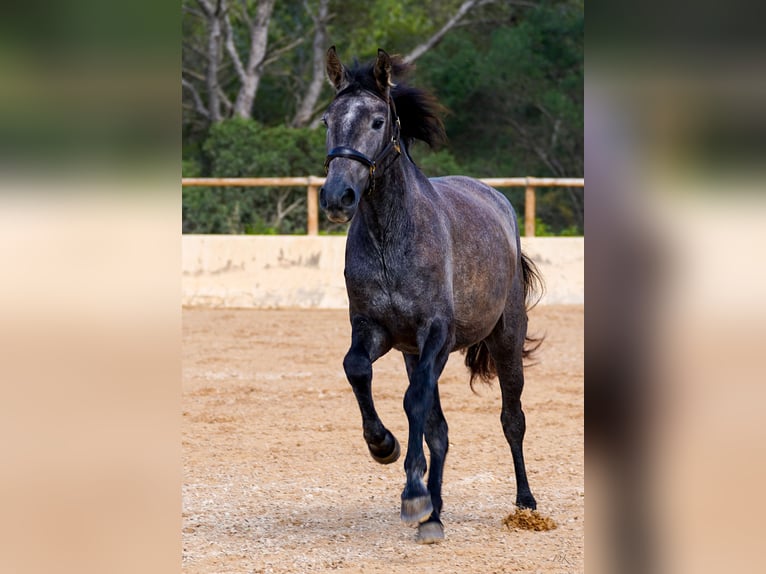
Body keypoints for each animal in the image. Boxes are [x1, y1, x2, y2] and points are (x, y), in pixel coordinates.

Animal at [318, 48, 544, 544]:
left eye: (378, 120)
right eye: (327, 119)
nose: (337, 197)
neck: (391, 238)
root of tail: (497, 200)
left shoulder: (435, 335)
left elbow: (414, 401)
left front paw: (411, 489)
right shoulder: (376, 331)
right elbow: (358, 369)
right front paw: (383, 446)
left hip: (505, 340)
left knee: (512, 418)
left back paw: (525, 502)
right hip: (411, 351)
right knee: (439, 429)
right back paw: (433, 513)